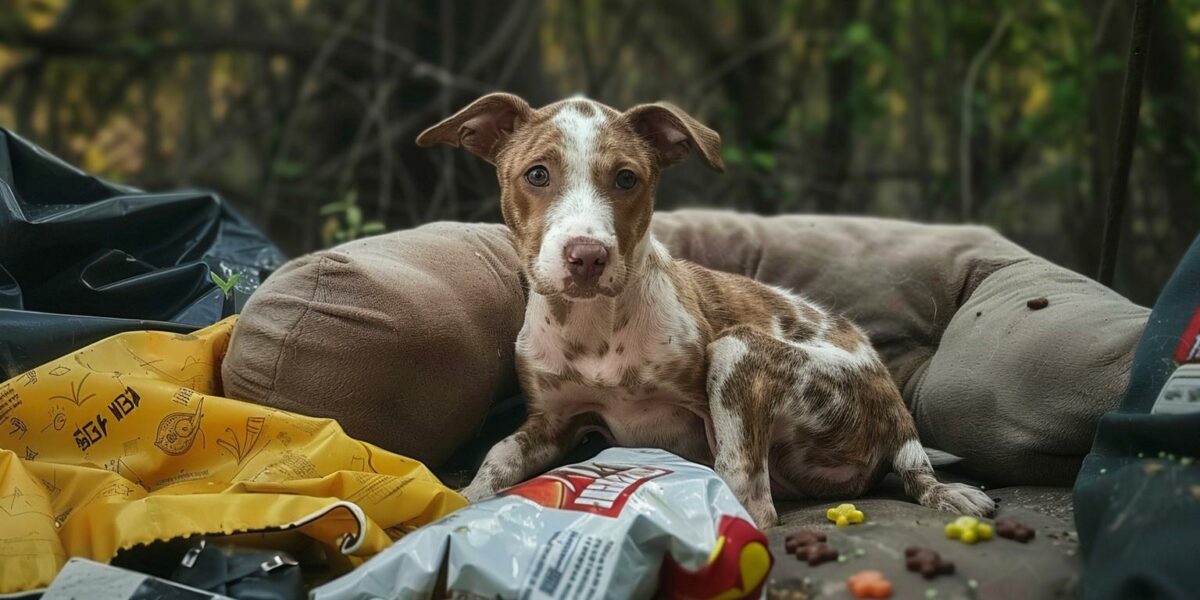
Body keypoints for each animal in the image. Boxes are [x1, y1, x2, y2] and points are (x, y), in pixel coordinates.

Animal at [417, 92, 988, 525]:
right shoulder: (552, 421)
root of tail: (896, 410)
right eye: (537, 175)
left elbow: (728, 467)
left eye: (626, 178)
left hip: (740, 353)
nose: (587, 257)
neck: (595, 325)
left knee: (757, 500)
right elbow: (497, 457)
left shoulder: (705, 412)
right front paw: (458, 506)